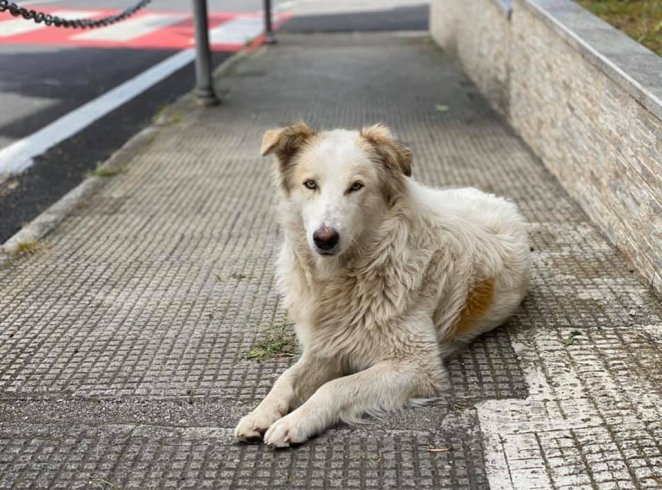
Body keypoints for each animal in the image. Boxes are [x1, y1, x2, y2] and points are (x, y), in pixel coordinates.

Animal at [235, 123, 536, 448]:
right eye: (310, 184)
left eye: (356, 186)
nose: (324, 239)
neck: (351, 274)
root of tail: (496, 198)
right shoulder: (327, 346)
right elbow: (286, 379)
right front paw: (260, 414)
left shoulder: (417, 366)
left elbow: (337, 386)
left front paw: (294, 422)